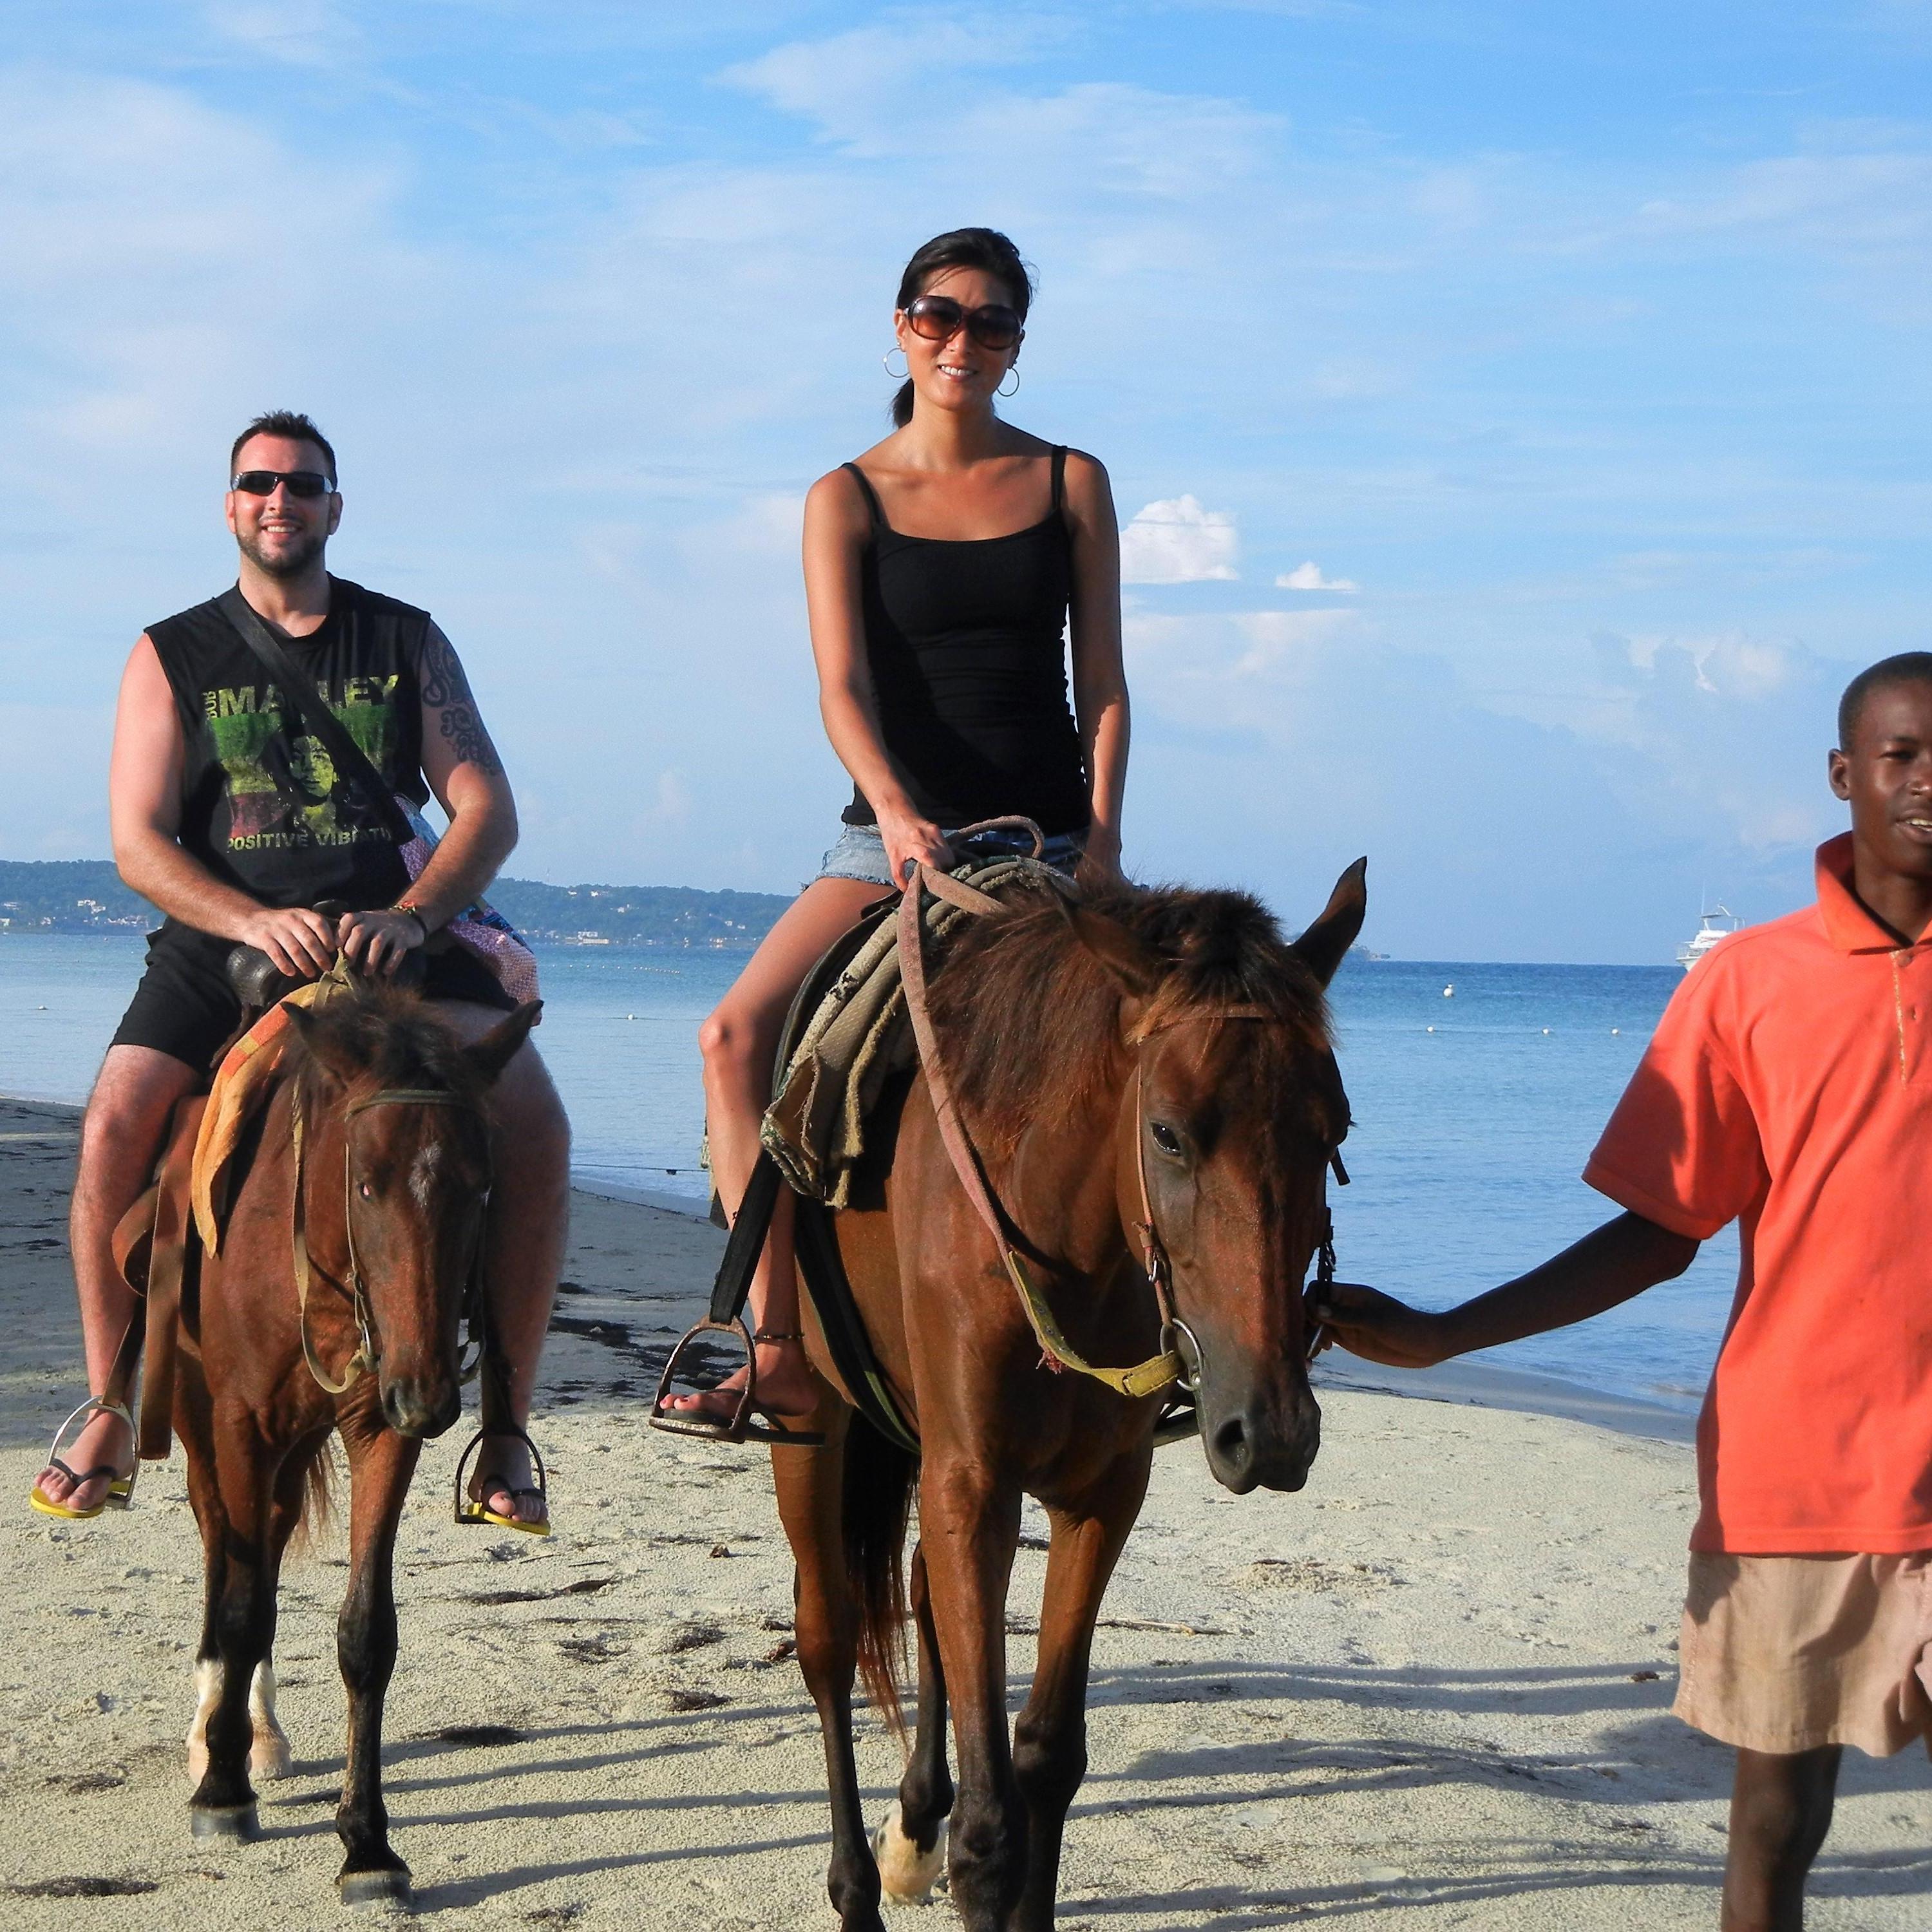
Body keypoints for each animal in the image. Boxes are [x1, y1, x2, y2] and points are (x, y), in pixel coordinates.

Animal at [175, 981, 541, 1901]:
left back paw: (260, 1729)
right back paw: (217, 1732)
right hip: (206, 1426)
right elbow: (241, 1608)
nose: (431, 1392)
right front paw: (223, 1789)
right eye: (368, 1186)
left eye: (481, 1187)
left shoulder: (381, 1428)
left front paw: (367, 1841)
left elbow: (366, 1634)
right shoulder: (239, 1422)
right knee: (224, 1551)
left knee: (264, 1543)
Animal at [769, 866, 1360, 1932]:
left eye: (1332, 1129)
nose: (1273, 1432)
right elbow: (990, 1828)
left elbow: (1046, 1756)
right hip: (810, 1424)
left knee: (920, 1597)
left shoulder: (1098, 1495)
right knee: (828, 1640)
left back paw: (911, 1827)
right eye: (1167, 1133)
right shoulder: (975, 1484)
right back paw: (857, 1886)